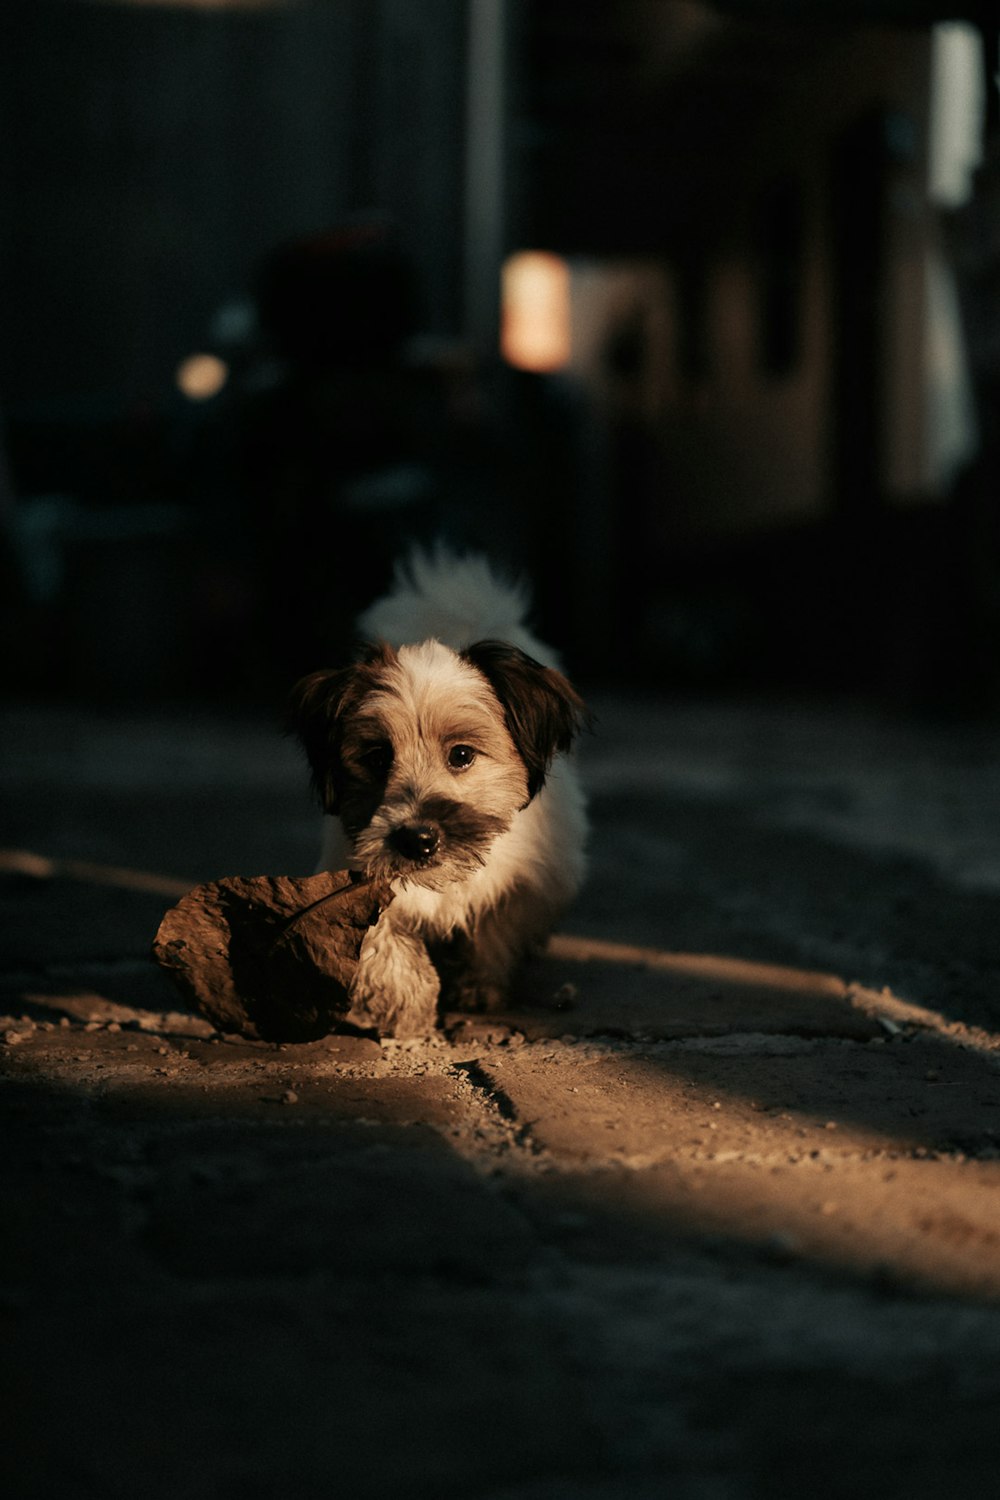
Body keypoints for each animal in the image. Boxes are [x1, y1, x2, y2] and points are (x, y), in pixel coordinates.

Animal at [287, 552, 587, 1032]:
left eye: (461, 754)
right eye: (377, 757)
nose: (417, 840)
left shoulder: (526, 883)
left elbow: (496, 929)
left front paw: (479, 988)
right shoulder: (356, 878)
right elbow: (381, 940)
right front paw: (405, 1006)